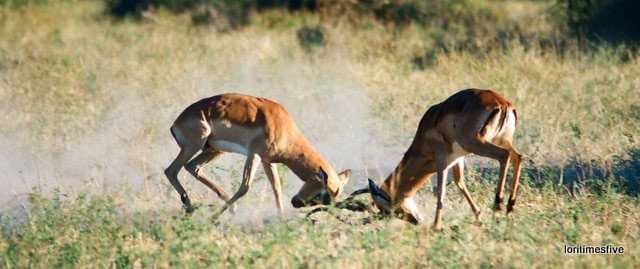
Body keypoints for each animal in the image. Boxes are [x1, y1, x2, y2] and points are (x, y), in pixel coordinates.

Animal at [164, 92, 350, 218]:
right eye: (322, 194)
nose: (295, 202)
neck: (283, 125)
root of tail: (176, 123)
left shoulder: (268, 160)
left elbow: (276, 187)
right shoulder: (254, 155)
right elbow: (245, 187)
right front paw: (214, 218)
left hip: (214, 150)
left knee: (192, 167)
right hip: (195, 146)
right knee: (171, 170)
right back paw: (190, 208)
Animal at [368, 89, 524, 229]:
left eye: (385, 207)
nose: (415, 221)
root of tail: (503, 103)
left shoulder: (441, 160)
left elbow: (440, 190)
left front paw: (436, 226)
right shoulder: (457, 158)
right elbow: (460, 182)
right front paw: (478, 217)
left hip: (477, 144)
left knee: (504, 155)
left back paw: (498, 205)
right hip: (502, 140)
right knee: (518, 157)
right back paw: (510, 207)